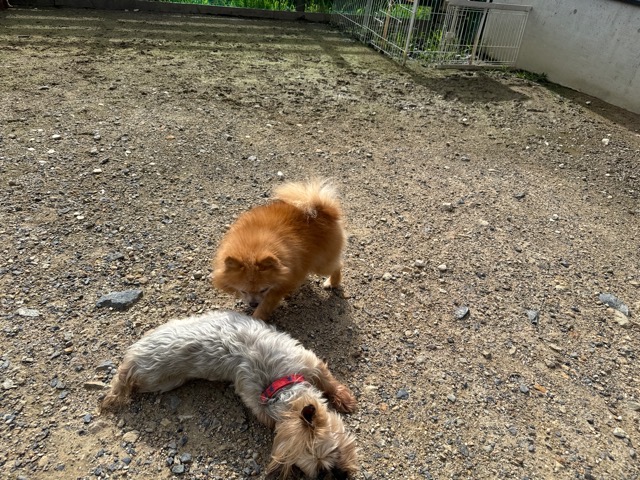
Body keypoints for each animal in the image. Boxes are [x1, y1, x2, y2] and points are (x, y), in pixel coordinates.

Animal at [101, 310, 358, 479]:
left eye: (335, 451)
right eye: (320, 471)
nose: (342, 476)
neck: (280, 388)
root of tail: (132, 364)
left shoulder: (310, 362)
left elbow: (329, 381)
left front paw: (344, 398)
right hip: (159, 380)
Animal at [212, 179, 346, 320]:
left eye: (263, 289)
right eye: (243, 290)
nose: (253, 304)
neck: (251, 248)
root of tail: (323, 210)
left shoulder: (276, 289)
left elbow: (265, 306)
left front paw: (256, 319)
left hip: (321, 264)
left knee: (338, 264)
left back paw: (332, 282)